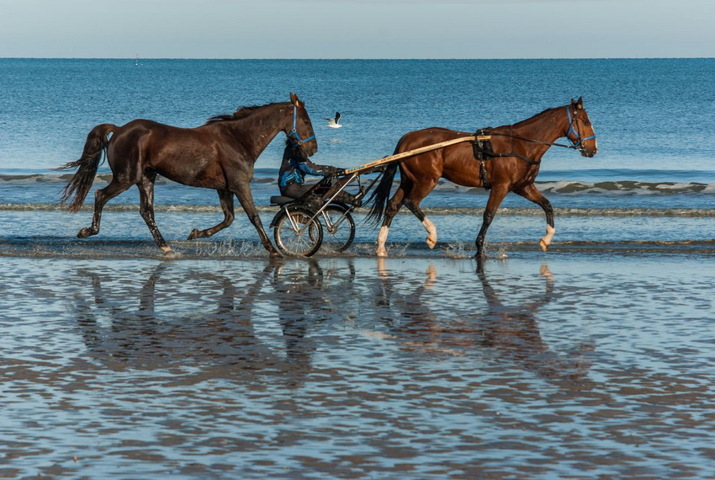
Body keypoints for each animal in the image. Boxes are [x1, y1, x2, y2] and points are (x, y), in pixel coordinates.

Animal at [59, 92, 318, 256]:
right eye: (306, 120)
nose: (313, 149)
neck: (238, 139)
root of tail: (120, 129)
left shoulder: (224, 188)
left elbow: (229, 218)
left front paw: (195, 234)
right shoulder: (240, 184)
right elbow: (253, 217)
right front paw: (273, 251)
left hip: (146, 179)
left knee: (146, 212)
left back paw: (166, 247)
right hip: (126, 178)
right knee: (100, 196)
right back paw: (87, 231)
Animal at [370, 97, 600, 258]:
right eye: (585, 121)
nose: (593, 149)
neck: (520, 145)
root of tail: (407, 140)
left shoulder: (523, 186)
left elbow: (547, 205)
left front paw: (546, 239)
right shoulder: (501, 186)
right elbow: (488, 215)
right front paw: (479, 248)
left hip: (410, 180)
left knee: (393, 205)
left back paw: (381, 246)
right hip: (426, 180)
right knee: (411, 202)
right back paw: (432, 236)